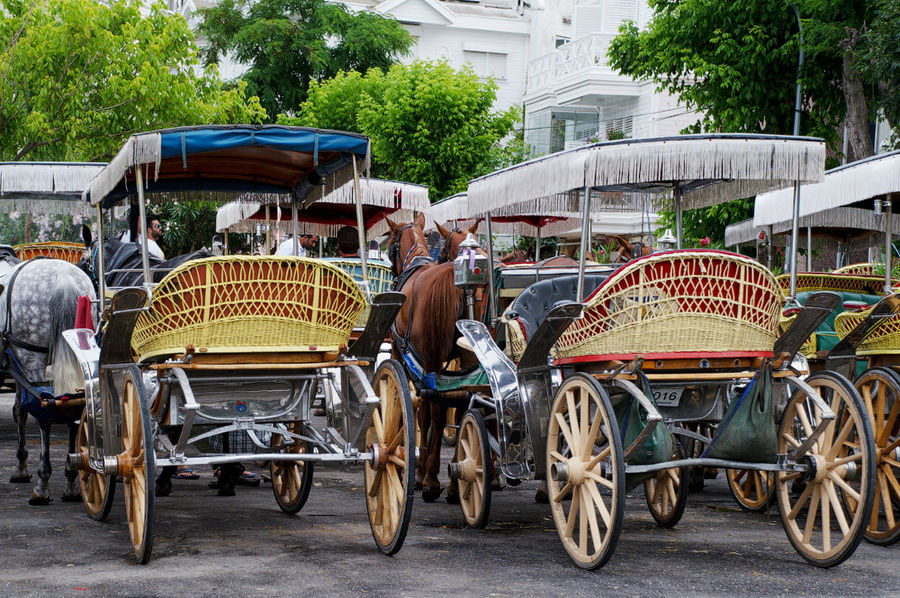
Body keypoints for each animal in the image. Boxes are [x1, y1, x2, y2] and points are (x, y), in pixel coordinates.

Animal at [0, 262, 95, 506]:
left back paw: (42, 485)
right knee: (73, 409)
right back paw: (71, 479)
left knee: (44, 412)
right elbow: (20, 410)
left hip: (31, 356)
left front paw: (21, 468)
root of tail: (63, 278)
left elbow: (21, 412)